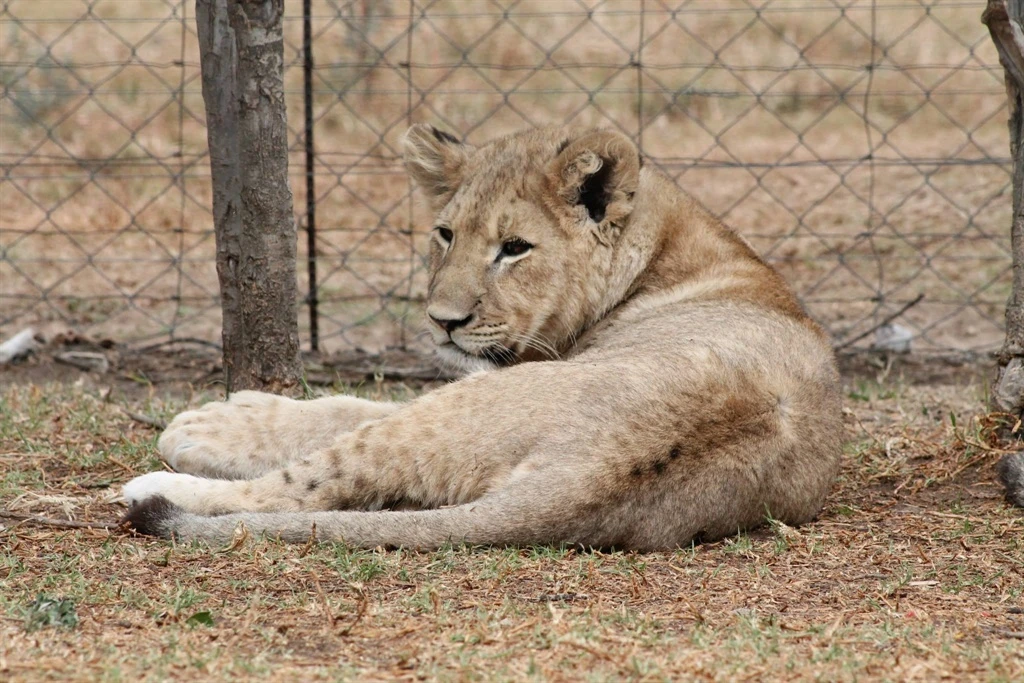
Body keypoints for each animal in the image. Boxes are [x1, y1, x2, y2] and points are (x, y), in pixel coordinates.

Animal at [121, 124, 843, 551]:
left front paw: (216, 420)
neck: (666, 249)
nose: (443, 319)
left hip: (470, 409)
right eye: (445, 234)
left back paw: (159, 489)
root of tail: (591, 475)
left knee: (315, 482)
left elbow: (343, 407)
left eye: (514, 248)